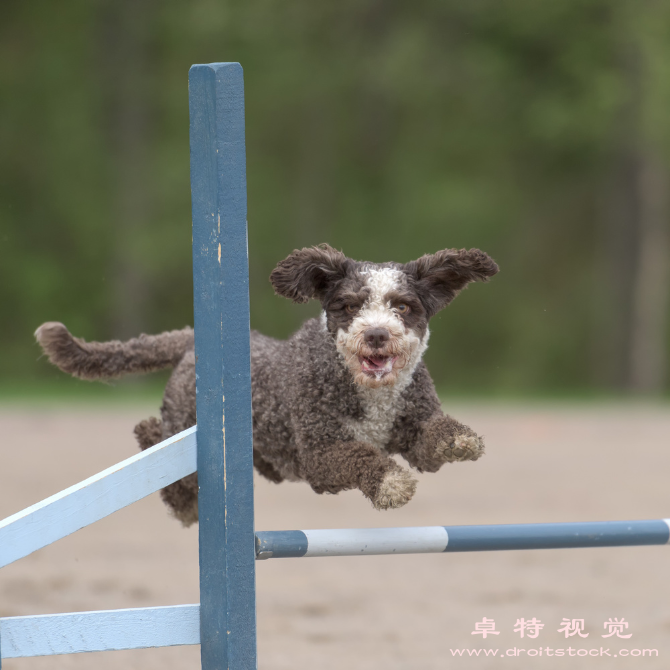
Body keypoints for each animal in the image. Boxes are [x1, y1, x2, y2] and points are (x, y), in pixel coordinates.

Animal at [35, 244, 498, 528]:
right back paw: (183, 501)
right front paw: (391, 484)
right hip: (183, 422)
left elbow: (433, 435)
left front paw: (460, 438)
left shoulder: (413, 427)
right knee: (151, 435)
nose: (377, 334)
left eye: (402, 306)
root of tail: (190, 340)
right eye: (349, 306)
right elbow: (363, 456)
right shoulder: (320, 455)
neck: (370, 394)